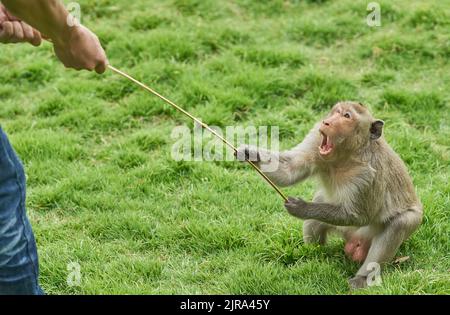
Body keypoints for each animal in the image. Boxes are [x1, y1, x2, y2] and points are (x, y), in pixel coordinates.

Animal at [237, 102, 424, 290]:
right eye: (336, 111)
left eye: (347, 116)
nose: (326, 122)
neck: (346, 155)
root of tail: (354, 240)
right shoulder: (315, 140)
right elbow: (290, 169)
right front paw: (249, 152)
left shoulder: (369, 173)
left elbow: (361, 215)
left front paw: (302, 208)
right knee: (319, 204)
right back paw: (312, 254)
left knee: (400, 223)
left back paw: (363, 277)